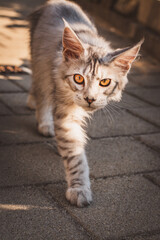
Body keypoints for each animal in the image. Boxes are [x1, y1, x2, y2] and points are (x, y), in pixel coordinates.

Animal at [26, 0, 143, 206]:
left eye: (105, 82)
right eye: (79, 78)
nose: (89, 98)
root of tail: (56, 2)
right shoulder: (65, 113)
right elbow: (75, 157)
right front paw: (79, 188)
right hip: (40, 62)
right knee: (42, 93)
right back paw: (44, 122)